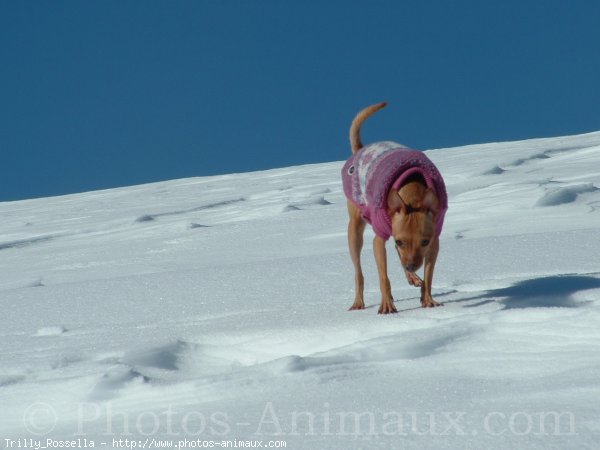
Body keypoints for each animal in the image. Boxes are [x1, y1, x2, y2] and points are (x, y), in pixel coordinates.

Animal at [342, 102, 446, 314]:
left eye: (424, 242)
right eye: (400, 241)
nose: (411, 266)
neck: (412, 192)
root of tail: (361, 149)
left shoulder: (434, 241)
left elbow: (429, 274)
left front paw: (428, 300)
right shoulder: (379, 239)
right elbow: (384, 277)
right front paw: (387, 305)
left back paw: (413, 278)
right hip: (355, 231)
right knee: (358, 272)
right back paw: (359, 301)